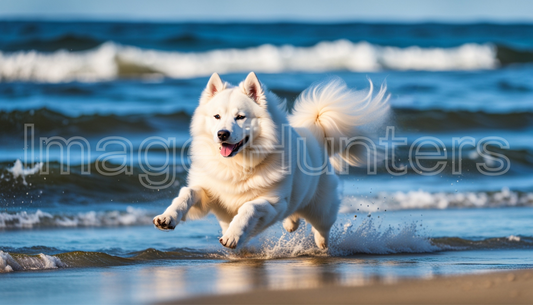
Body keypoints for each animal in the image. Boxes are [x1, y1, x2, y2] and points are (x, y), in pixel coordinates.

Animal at [153, 72, 386, 248]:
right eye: (217, 116)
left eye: (240, 117)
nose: (222, 134)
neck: (237, 165)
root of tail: (316, 134)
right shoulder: (208, 193)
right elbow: (187, 193)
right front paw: (167, 217)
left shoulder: (273, 202)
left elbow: (248, 208)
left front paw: (233, 235)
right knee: (295, 212)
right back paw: (291, 225)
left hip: (320, 207)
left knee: (322, 225)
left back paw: (322, 245)